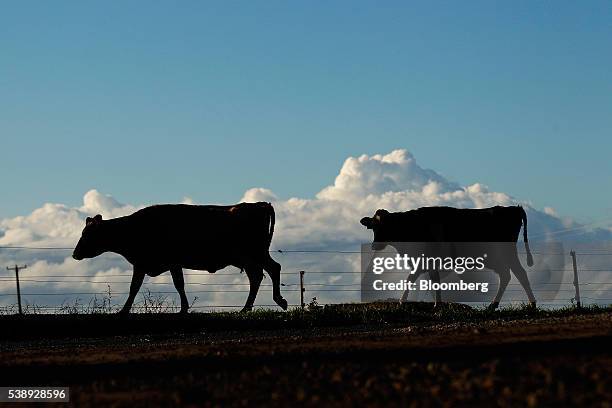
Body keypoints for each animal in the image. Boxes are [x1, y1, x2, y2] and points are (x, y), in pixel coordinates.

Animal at [71, 202, 286, 314]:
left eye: (87, 234)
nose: (74, 254)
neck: (134, 228)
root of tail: (260, 204)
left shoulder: (156, 263)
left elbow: (140, 287)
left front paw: (124, 311)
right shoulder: (156, 264)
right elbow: (173, 285)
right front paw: (184, 308)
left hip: (254, 254)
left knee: (270, 270)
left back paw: (266, 303)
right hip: (252, 257)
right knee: (260, 276)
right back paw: (251, 307)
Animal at [358, 207, 536, 310]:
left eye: (387, 226)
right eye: (373, 227)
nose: (374, 246)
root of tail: (514, 208)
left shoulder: (428, 259)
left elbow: (427, 280)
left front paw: (435, 304)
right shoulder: (423, 261)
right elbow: (416, 278)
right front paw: (404, 302)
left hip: (506, 252)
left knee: (519, 274)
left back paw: (531, 304)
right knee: (507, 275)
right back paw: (495, 305)